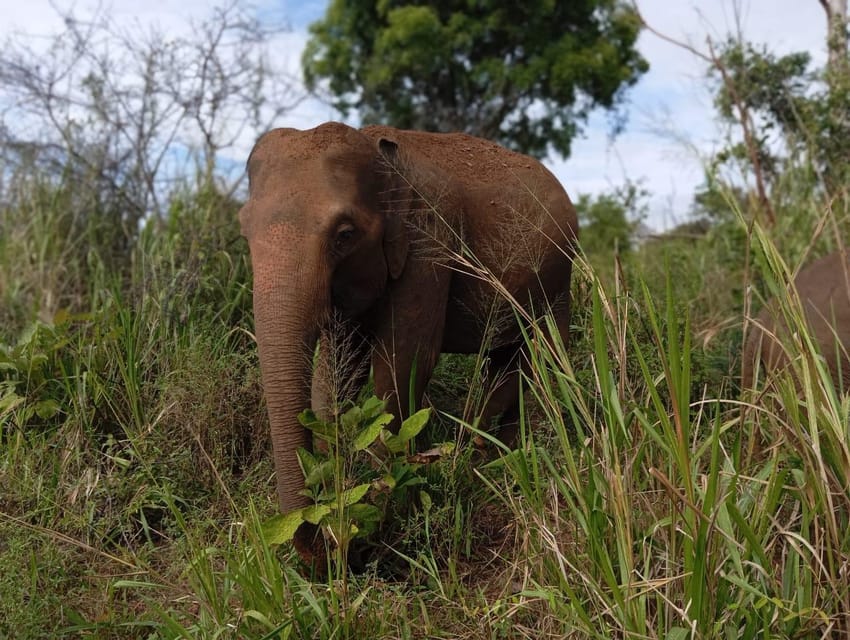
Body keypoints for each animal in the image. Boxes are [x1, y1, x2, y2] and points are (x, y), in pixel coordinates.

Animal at [242, 122, 580, 516]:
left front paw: (382, 494)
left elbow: (404, 360)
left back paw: (490, 450)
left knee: (542, 357)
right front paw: (336, 475)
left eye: (345, 235)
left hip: (558, 280)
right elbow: (338, 369)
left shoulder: (429, 239)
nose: (312, 522)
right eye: (243, 231)